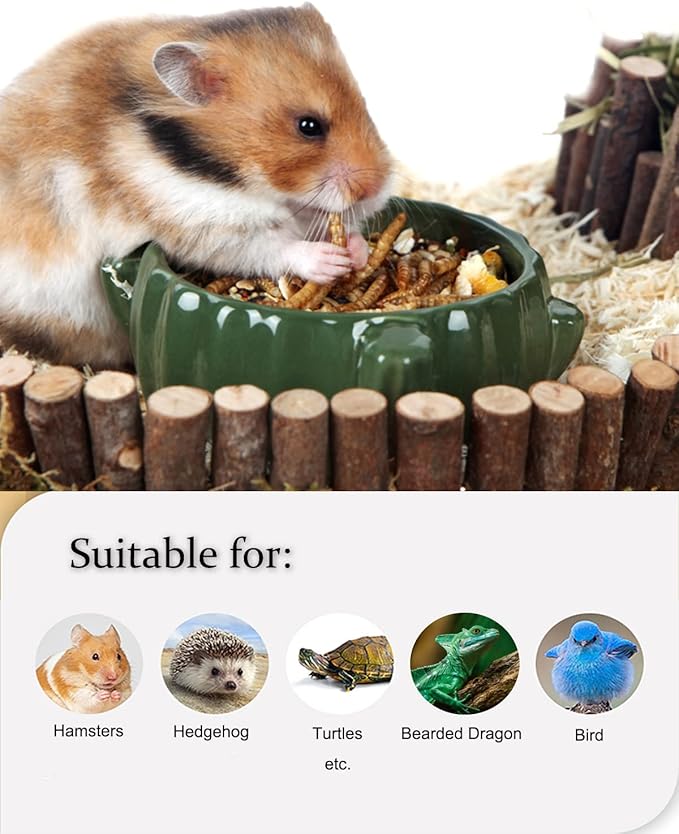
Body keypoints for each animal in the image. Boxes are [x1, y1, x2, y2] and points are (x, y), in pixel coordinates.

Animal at [0, 5, 393, 367]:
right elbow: (271, 247)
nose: (377, 191)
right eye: (309, 126)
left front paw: (358, 251)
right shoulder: (204, 224)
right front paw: (329, 260)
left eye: (366, 105)